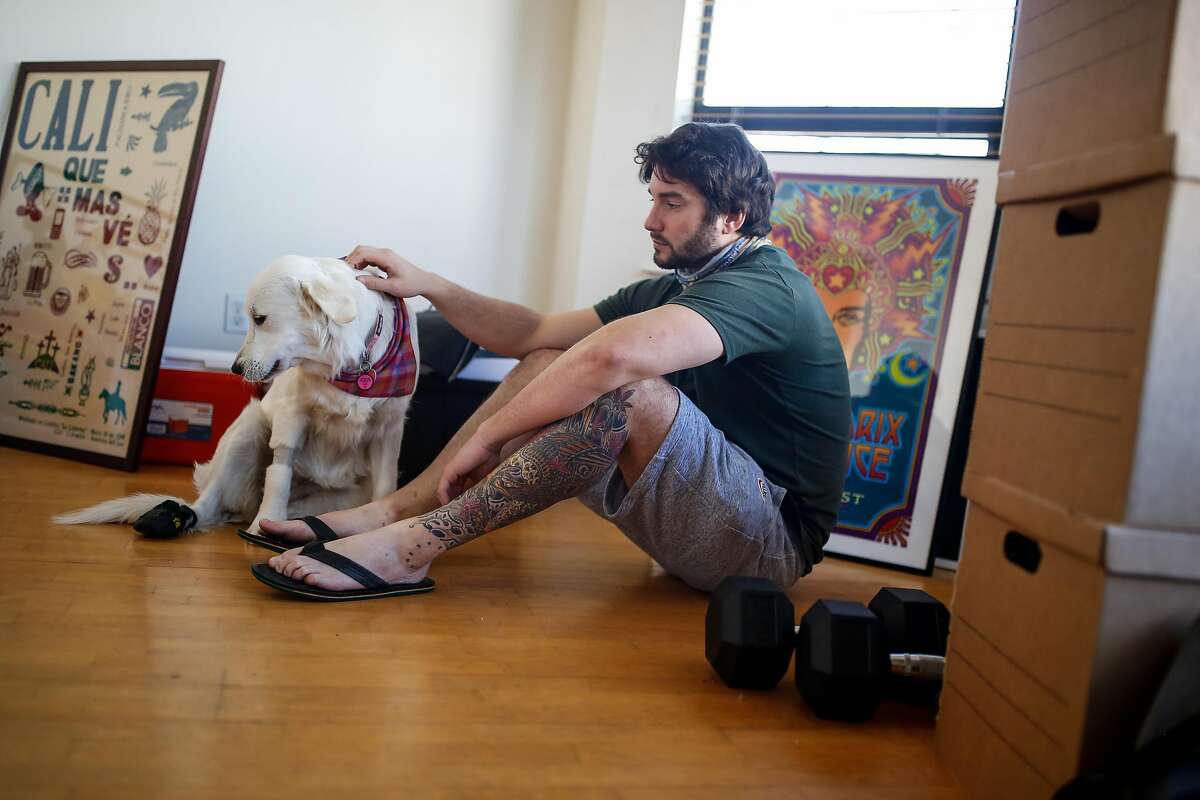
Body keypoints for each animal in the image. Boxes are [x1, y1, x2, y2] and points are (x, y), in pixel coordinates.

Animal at [57, 256, 422, 544]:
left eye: (260, 319)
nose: (235, 368)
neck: (349, 366)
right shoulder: (291, 415)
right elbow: (279, 475)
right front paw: (263, 525)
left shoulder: (389, 431)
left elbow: (386, 486)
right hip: (249, 427)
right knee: (208, 506)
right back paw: (187, 518)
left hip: (342, 497)